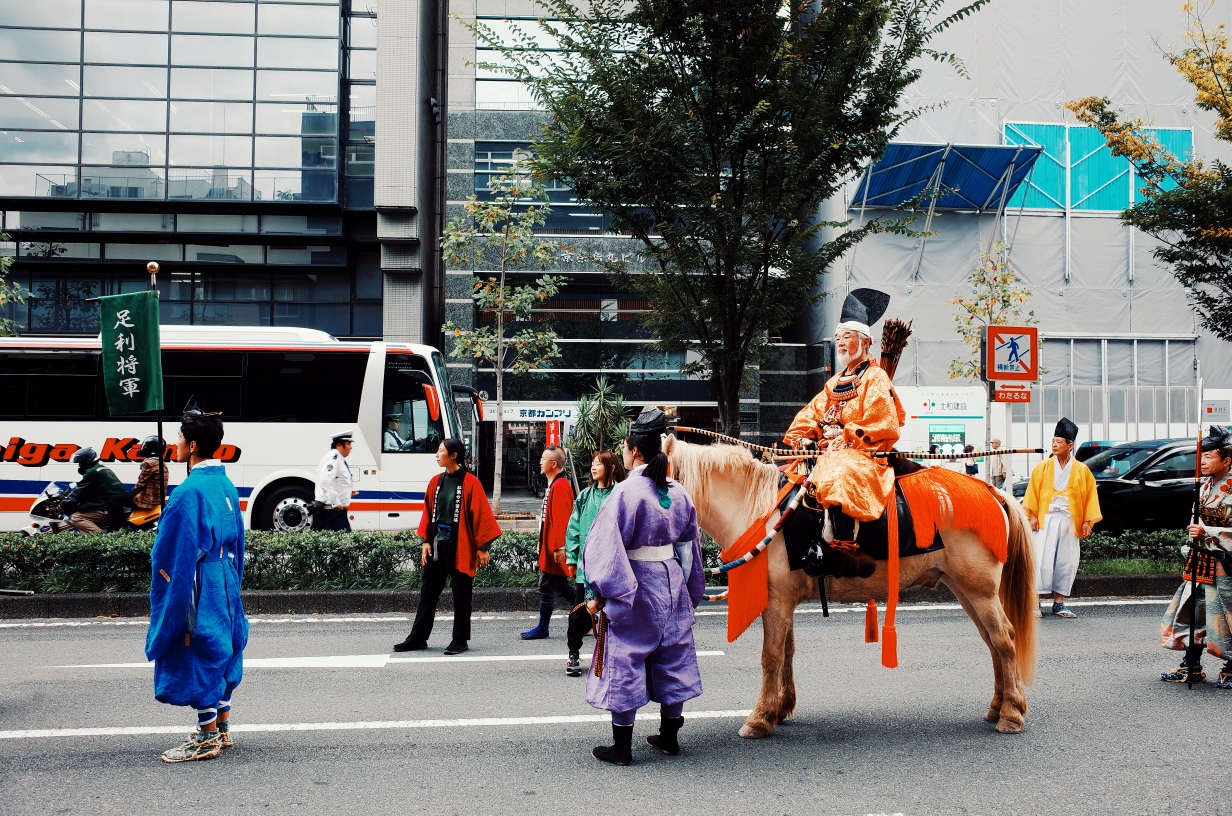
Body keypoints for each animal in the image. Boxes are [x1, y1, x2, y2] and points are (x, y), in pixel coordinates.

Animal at [665, 441, 1039, 739]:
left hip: (980, 591)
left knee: (1004, 639)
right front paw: (781, 708)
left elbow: (770, 656)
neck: (759, 510)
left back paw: (1011, 713)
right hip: (963, 588)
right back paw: (998, 705)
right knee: (992, 642)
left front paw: (759, 719)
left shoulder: (776, 600)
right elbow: (786, 653)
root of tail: (993, 492)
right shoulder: (784, 601)